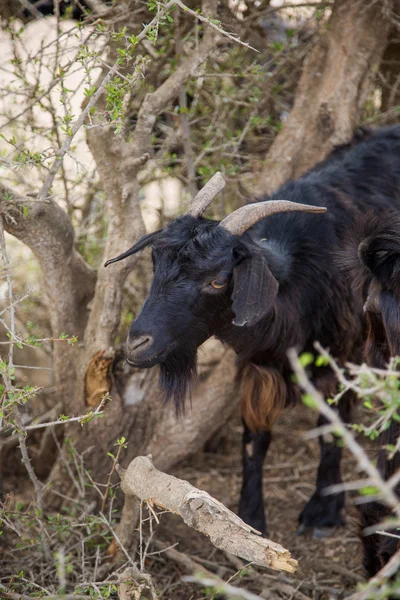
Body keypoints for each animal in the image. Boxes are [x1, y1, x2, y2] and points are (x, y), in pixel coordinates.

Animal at [107, 124, 400, 536]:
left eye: (217, 280)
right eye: (155, 262)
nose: (137, 344)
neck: (296, 283)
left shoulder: (343, 355)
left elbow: (331, 428)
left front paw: (322, 513)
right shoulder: (255, 369)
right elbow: (254, 439)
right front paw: (249, 516)